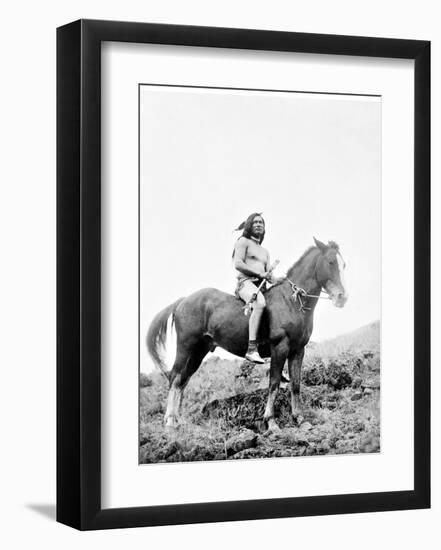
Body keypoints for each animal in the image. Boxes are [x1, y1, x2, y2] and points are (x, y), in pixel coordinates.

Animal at [147, 237, 348, 432]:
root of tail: (183, 300)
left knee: (183, 381)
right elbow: (274, 383)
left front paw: (299, 419)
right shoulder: (280, 348)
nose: (342, 298)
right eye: (330, 262)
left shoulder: (298, 351)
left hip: (198, 352)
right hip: (186, 347)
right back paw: (169, 421)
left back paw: (178, 420)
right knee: (174, 377)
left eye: (343, 264)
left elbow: (296, 384)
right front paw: (271, 422)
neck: (291, 301)